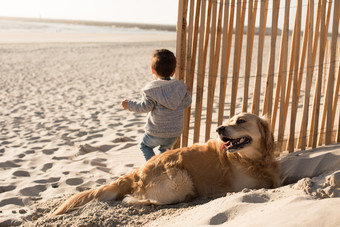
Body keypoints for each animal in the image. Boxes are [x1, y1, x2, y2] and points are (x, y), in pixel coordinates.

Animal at [50, 112, 278, 215]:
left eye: (241, 121)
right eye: (230, 120)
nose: (219, 128)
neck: (252, 159)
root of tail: (137, 172)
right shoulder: (247, 185)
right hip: (181, 179)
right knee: (137, 199)